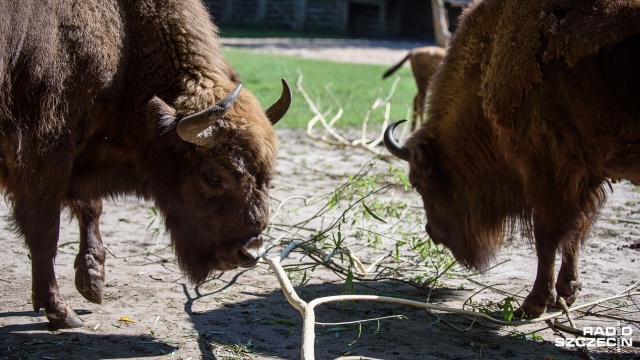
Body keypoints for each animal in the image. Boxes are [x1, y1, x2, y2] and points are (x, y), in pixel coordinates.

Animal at [0, 0, 290, 328]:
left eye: (267, 175)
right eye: (214, 177)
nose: (250, 253)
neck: (125, 40)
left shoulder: (77, 155)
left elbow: (90, 207)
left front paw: (92, 281)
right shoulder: (45, 150)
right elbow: (45, 231)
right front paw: (61, 311)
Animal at [384, 0, 640, 318]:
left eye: (417, 183)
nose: (432, 232)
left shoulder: (545, 173)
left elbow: (547, 237)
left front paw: (533, 303)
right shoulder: (583, 177)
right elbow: (576, 232)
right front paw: (567, 293)